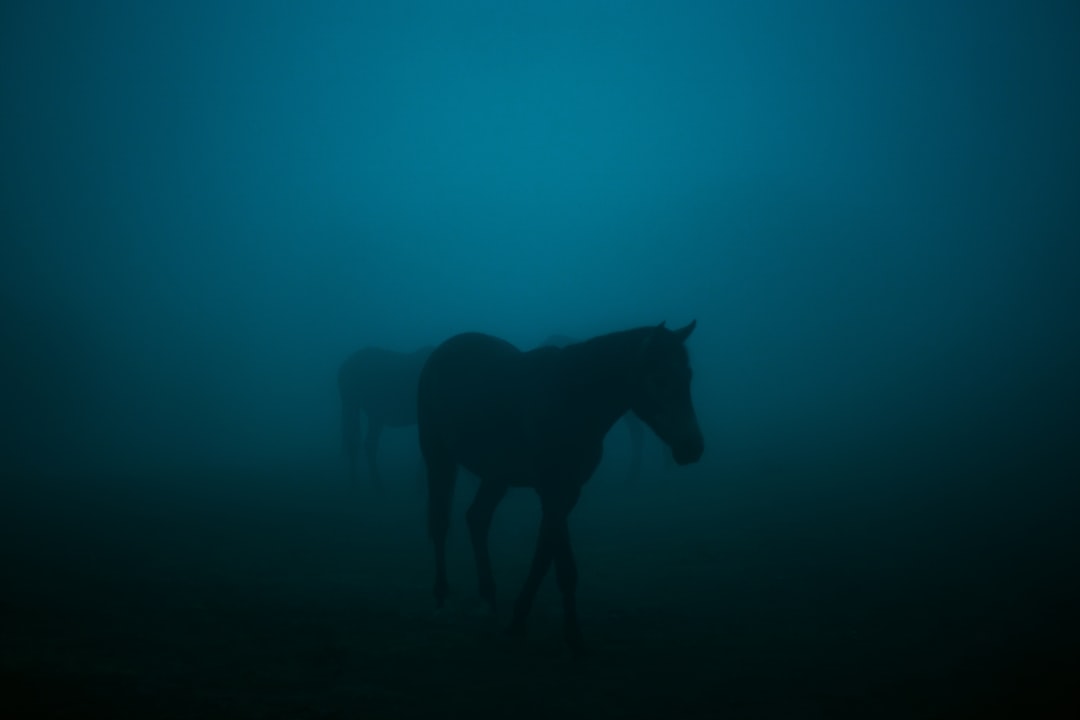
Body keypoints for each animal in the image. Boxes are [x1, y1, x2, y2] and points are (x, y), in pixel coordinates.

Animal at [337, 345, 434, 489]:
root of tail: (345, 367)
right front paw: (420, 482)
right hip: (355, 406)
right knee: (358, 442)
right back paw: (369, 484)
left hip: (369, 414)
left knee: (361, 442)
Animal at [418, 321, 703, 654]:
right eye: (659, 379)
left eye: (688, 376)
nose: (692, 448)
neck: (571, 401)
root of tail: (442, 352)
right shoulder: (552, 491)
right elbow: (564, 566)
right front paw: (572, 635)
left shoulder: (568, 493)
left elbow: (544, 557)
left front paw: (518, 620)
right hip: (438, 456)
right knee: (440, 523)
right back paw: (441, 596)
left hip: (496, 474)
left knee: (477, 518)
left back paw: (489, 598)